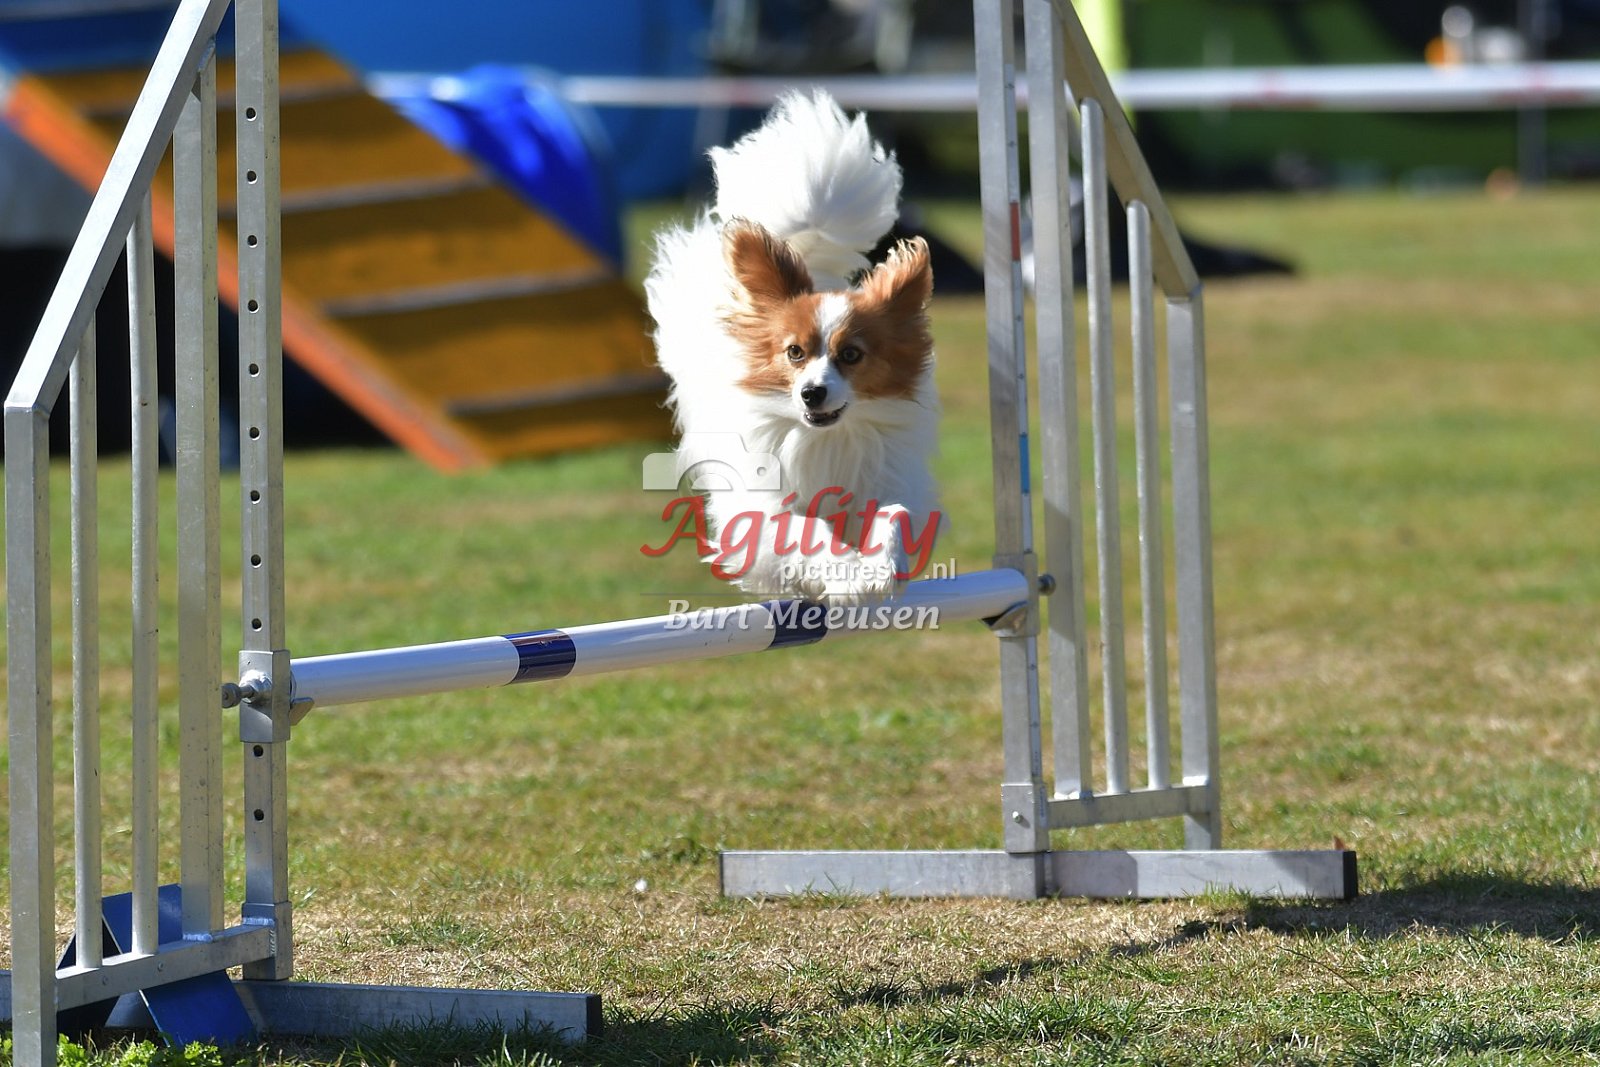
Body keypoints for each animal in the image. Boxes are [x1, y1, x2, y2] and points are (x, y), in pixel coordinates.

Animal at [645, 91, 940, 606]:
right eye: (794, 353)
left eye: (852, 355)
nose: (811, 393)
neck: (825, 438)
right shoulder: (760, 512)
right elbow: (808, 530)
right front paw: (849, 575)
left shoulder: (890, 479)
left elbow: (894, 516)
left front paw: (880, 565)